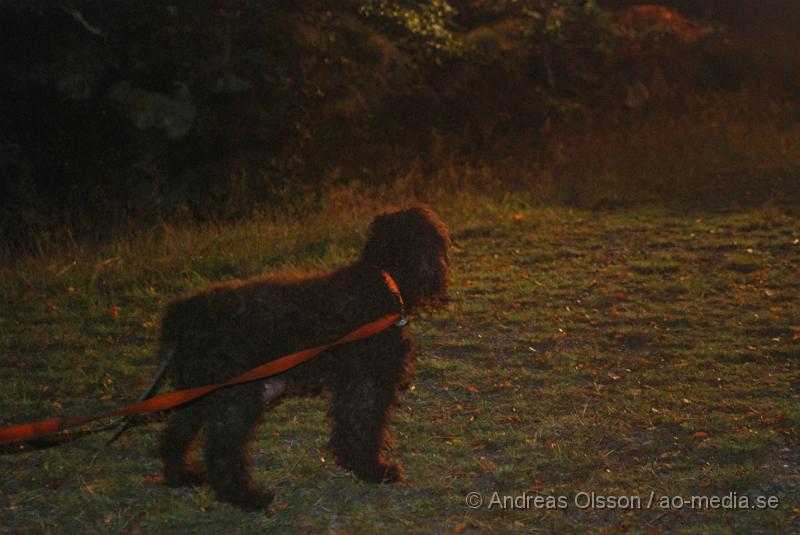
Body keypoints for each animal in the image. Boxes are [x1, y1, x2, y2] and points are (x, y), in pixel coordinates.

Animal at [158, 205, 450, 510]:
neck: (383, 278)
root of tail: (182, 313)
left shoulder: (351, 383)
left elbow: (348, 423)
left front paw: (354, 463)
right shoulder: (371, 381)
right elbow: (367, 425)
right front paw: (374, 469)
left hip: (203, 390)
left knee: (177, 431)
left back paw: (180, 475)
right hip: (236, 396)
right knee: (222, 450)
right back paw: (246, 496)